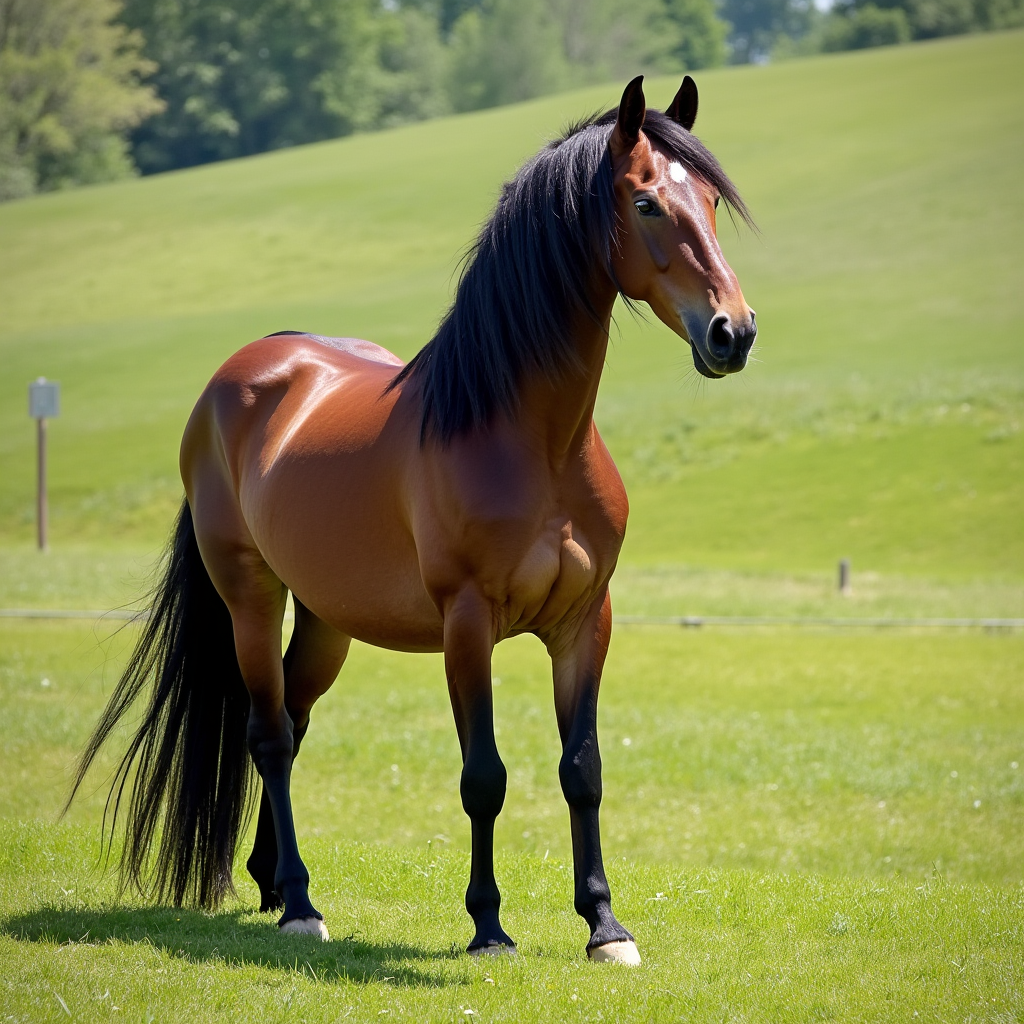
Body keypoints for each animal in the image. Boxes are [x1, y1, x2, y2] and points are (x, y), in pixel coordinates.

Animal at [69, 74, 755, 966]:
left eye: (708, 201)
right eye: (645, 203)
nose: (734, 332)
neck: (531, 438)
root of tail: (245, 370)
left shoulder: (585, 621)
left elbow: (583, 769)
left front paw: (605, 927)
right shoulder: (467, 624)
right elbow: (484, 777)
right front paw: (489, 927)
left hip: (326, 619)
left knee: (293, 719)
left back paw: (272, 883)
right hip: (250, 598)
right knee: (270, 736)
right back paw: (300, 904)